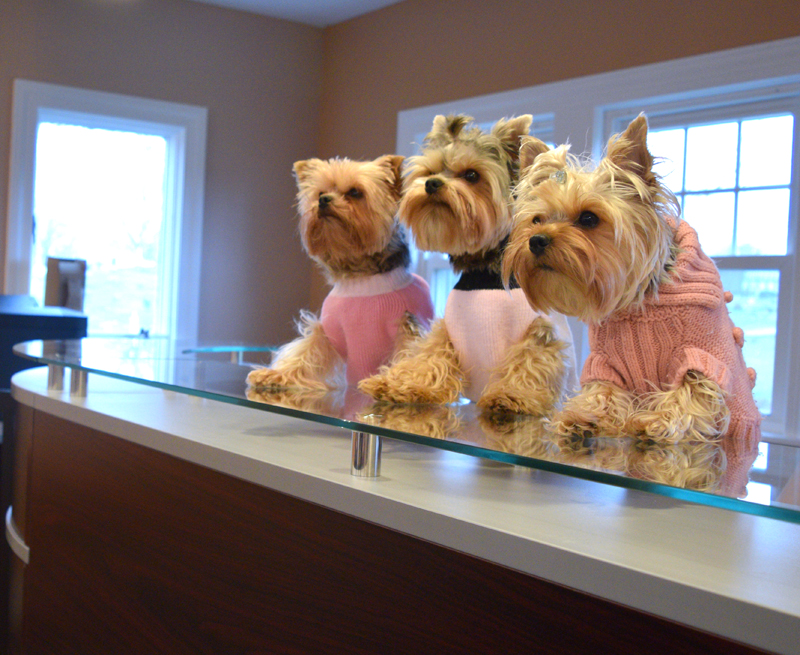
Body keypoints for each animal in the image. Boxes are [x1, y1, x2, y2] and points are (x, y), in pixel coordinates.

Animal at [250, 156, 438, 392]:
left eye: (355, 192)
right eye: (320, 193)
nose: (324, 200)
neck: (360, 277)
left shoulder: (408, 324)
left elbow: (410, 355)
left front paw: (395, 384)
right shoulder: (327, 331)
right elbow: (307, 350)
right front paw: (276, 374)